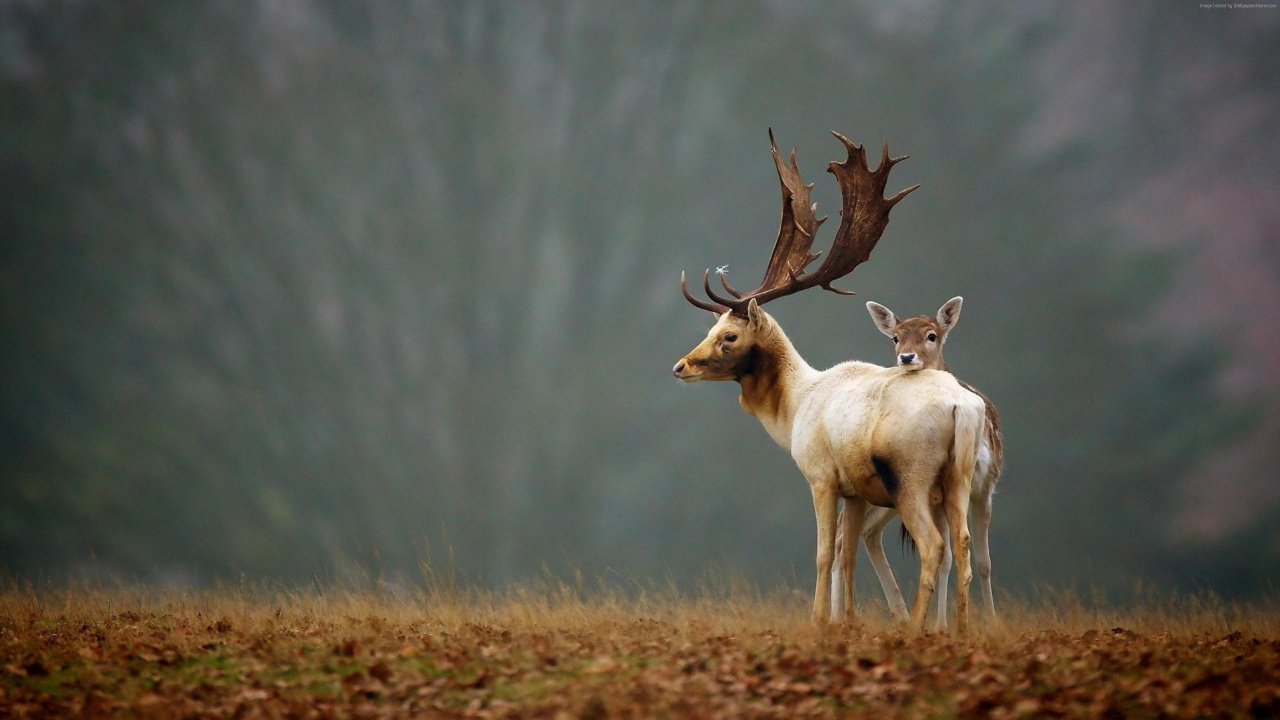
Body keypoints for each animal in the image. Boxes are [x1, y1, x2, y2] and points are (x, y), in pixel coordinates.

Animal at [672, 129, 986, 635]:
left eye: (729, 335)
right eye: (711, 327)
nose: (681, 366)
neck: (795, 408)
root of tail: (963, 407)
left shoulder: (820, 475)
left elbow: (823, 553)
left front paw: (819, 620)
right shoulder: (855, 489)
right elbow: (847, 555)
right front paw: (848, 621)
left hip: (911, 476)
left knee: (934, 546)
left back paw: (915, 630)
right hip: (958, 476)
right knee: (963, 544)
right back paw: (957, 630)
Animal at [829, 298, 1004, 629]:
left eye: (931, 335)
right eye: (895, 337)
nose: (906, 357)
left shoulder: (986, 486)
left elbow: (984, 561)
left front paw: (988, 622)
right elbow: (950, 557)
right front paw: (941, 626)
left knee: (861, 533)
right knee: (846, 535)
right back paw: (837, 618)